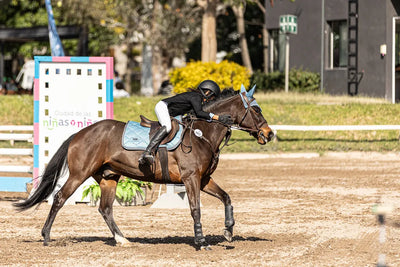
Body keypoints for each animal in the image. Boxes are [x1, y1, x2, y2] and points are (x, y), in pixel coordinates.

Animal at [13, 86, 276, 251]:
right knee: (59, 198)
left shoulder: (203, 179)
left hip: (109, 176)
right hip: (80, 174)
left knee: (105, 208)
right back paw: (46, 237)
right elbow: (195, 209)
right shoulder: (191, 179)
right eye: (256, 110)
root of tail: (80, 133)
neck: (203, 134)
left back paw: (122, 240)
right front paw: (201, 242)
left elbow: (226, 198)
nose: (269, 134)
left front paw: (228, 230)